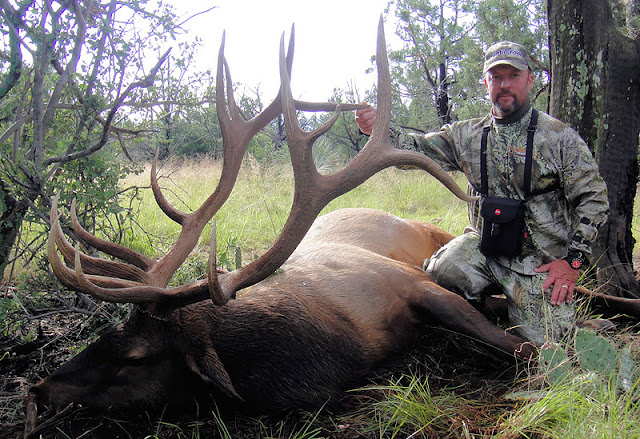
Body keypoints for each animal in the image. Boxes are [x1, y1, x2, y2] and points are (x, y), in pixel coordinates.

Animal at [22, 17, 636, 436]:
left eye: (134, 359)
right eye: (104, 335)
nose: (38, 389)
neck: (335, 345)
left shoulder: (412, 284)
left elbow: (528, 349)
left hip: (440, 242)